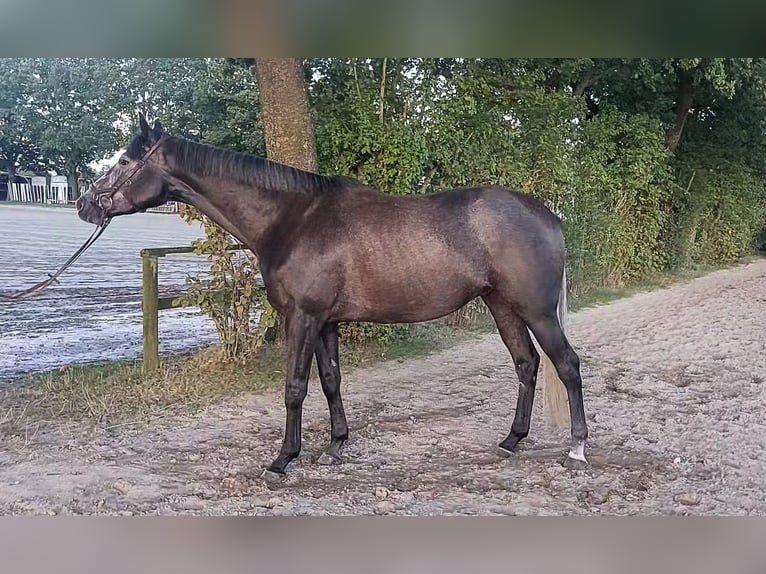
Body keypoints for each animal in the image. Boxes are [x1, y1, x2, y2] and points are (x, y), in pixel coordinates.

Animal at [76, 115, 588, 480]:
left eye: (125, 162)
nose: (85, 204)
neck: (294, 218)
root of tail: (549, 215)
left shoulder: (302, 318)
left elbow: (295, 388)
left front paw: (283, 460)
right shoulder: (326, 322)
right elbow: (330, 381)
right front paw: (337, 444)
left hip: (537, 311)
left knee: (566, 364)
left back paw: (577, 449)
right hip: (502, 306)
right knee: (526, 364)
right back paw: (512, 440)